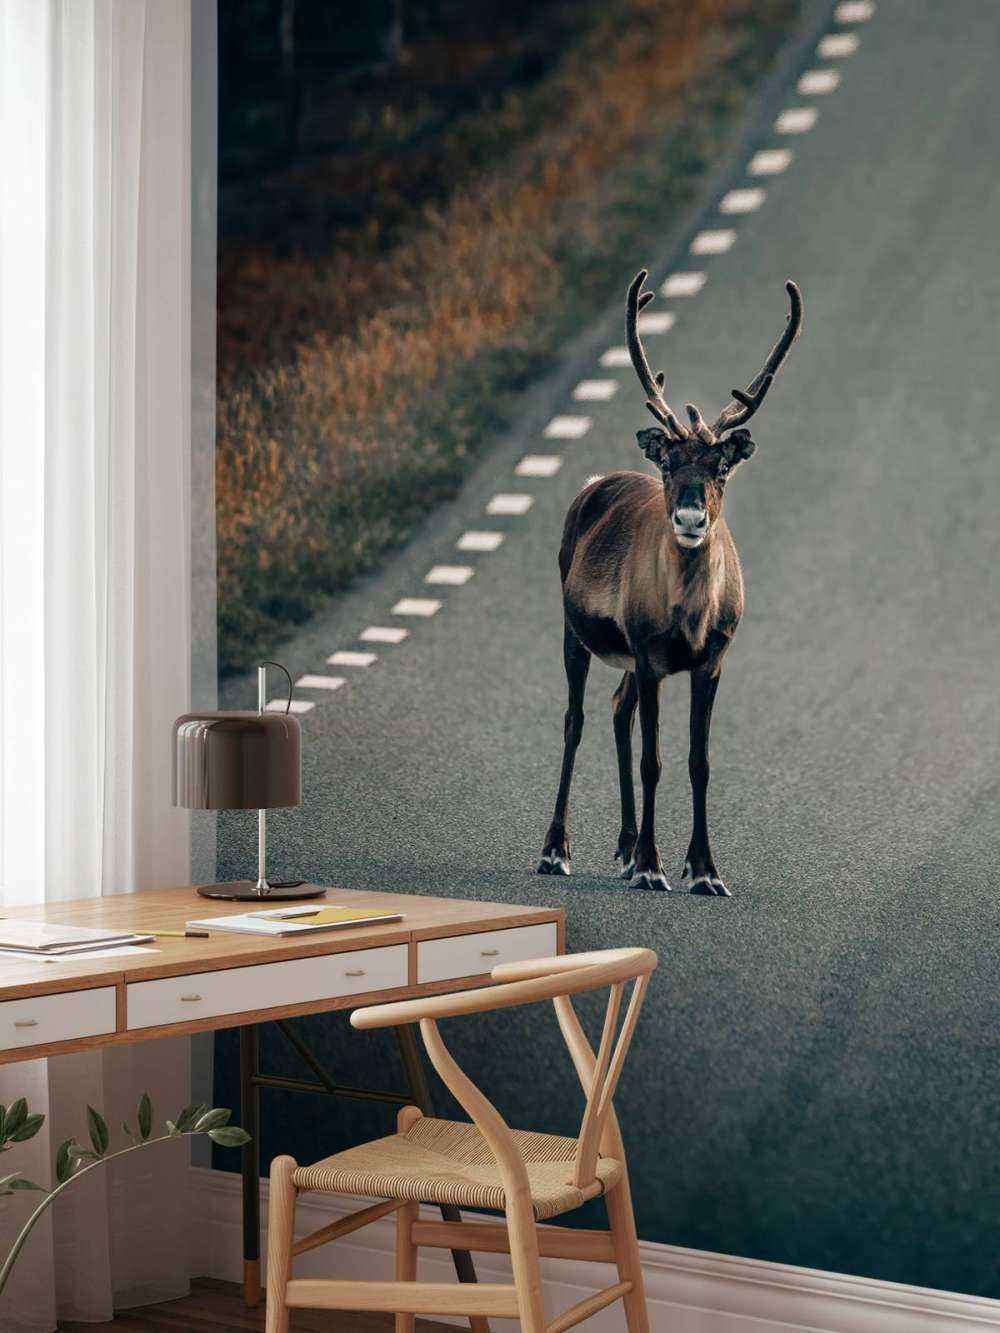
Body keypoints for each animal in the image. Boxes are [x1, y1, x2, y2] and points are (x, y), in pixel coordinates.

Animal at [538, 269, 802, 893]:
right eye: (668, 464)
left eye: (721, 466)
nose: (688, 516)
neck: (690, 617)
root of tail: (592, 483)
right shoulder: (650, 652)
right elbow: (652, 759)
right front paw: (653, 867)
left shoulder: (711, 659)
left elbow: (697, 762)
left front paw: (703, 870)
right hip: (576, 630)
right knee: (575, 720)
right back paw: (557, 850)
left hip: (629, 661)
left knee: (617, 709)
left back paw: (624, 844)